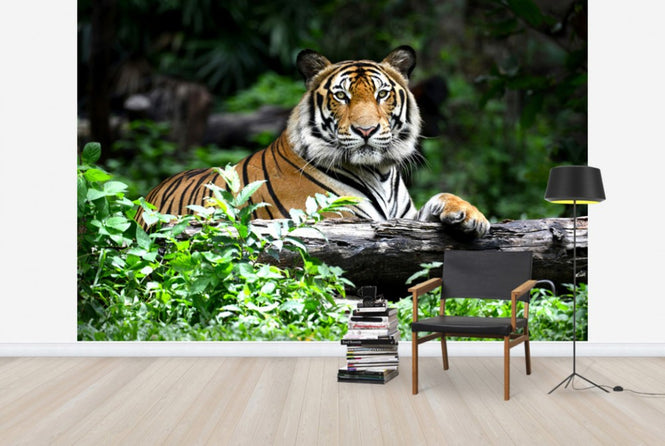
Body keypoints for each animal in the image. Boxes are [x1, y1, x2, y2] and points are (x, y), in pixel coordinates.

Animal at [139, 45, 490, 237]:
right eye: (341, 96)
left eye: (381, 94)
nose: (366, 130)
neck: (379, 172)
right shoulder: (333, 219)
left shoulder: (403, 219)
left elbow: (440, 199)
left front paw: (471, 216)